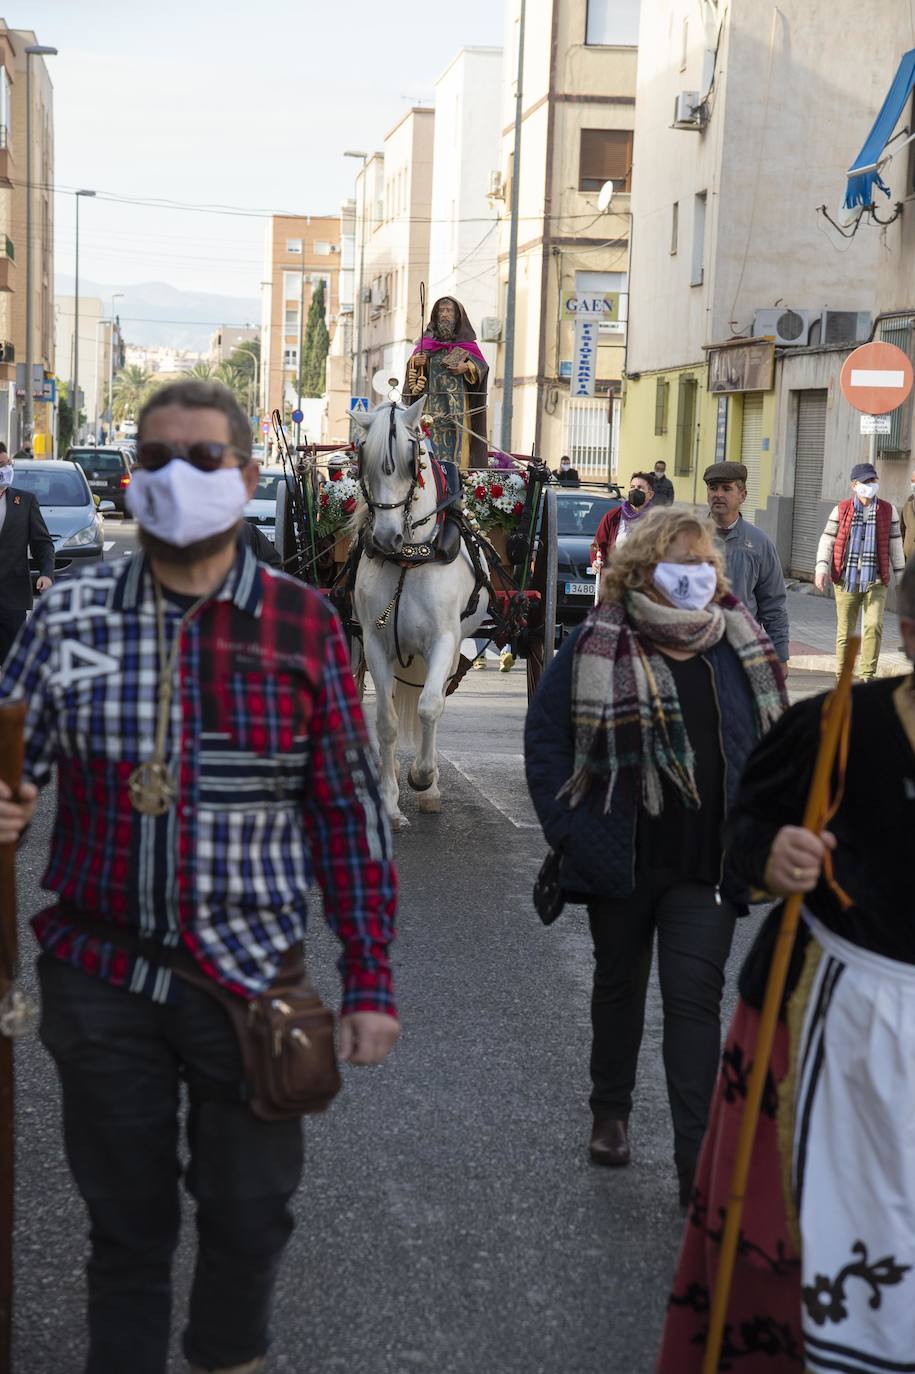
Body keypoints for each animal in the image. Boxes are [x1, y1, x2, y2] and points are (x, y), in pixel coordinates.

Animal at [350, 398, 489, 824]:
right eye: (363, 458)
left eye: (412, 459)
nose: (385, 537)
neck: (409, 558)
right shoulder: (376, 643)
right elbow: (386, 721)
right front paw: (389, 800)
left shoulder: (444, 640)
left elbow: (429, 707)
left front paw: (423, 778)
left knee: (436, 700)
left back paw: (429, 786)